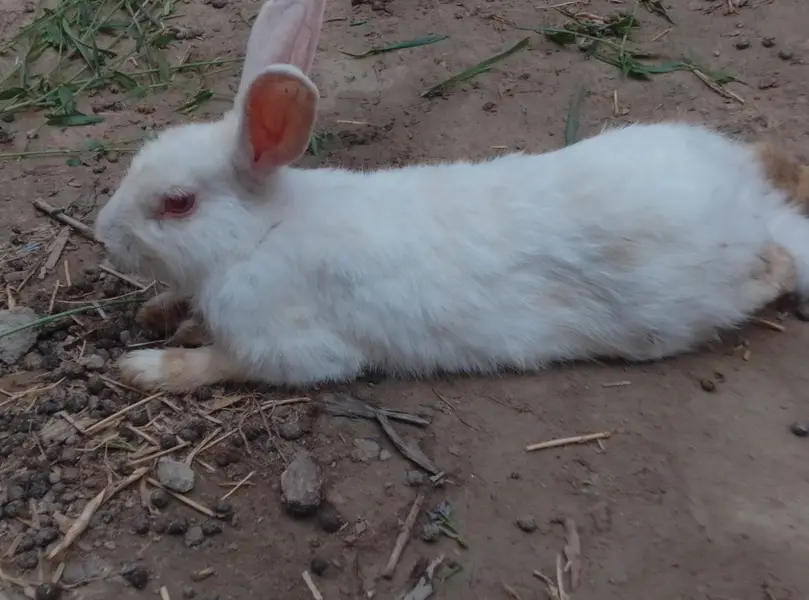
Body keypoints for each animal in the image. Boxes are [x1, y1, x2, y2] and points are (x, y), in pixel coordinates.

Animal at [93, 0, 809, 394]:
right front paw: (157, 313)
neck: (259, 235)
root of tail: (751, 206)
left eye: (178, 203)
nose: (104, 234)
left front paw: (146, 368)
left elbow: (220, 363)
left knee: (773, 270)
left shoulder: (291, 348)